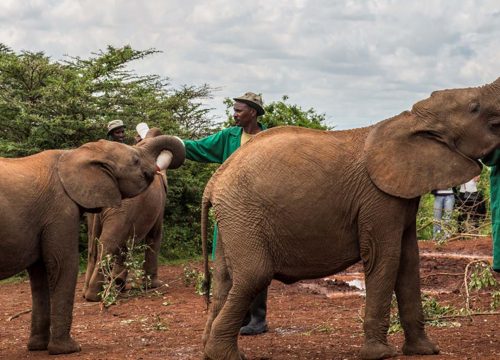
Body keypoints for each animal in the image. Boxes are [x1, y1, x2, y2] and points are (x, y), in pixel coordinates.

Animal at [0, 135, 186, 354]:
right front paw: (69, 349)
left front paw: (38, 347)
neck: (75, 154)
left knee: (96, 247)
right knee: (109, 243)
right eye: (135, 160)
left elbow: (40, 276)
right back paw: (97, 296)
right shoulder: (60, 211)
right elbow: (63, 266)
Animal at [201, 77, 500, 358]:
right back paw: (226, 355)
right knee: (254, 275)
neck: (409, 119)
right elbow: (385, 257)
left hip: (234, 218)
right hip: (243, 213)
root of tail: (215, 180)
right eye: (475, 108)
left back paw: (210, 350)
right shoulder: (377, 199)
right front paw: (381, 355)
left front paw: (425, 350)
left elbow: (409, 261)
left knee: (224, 280)